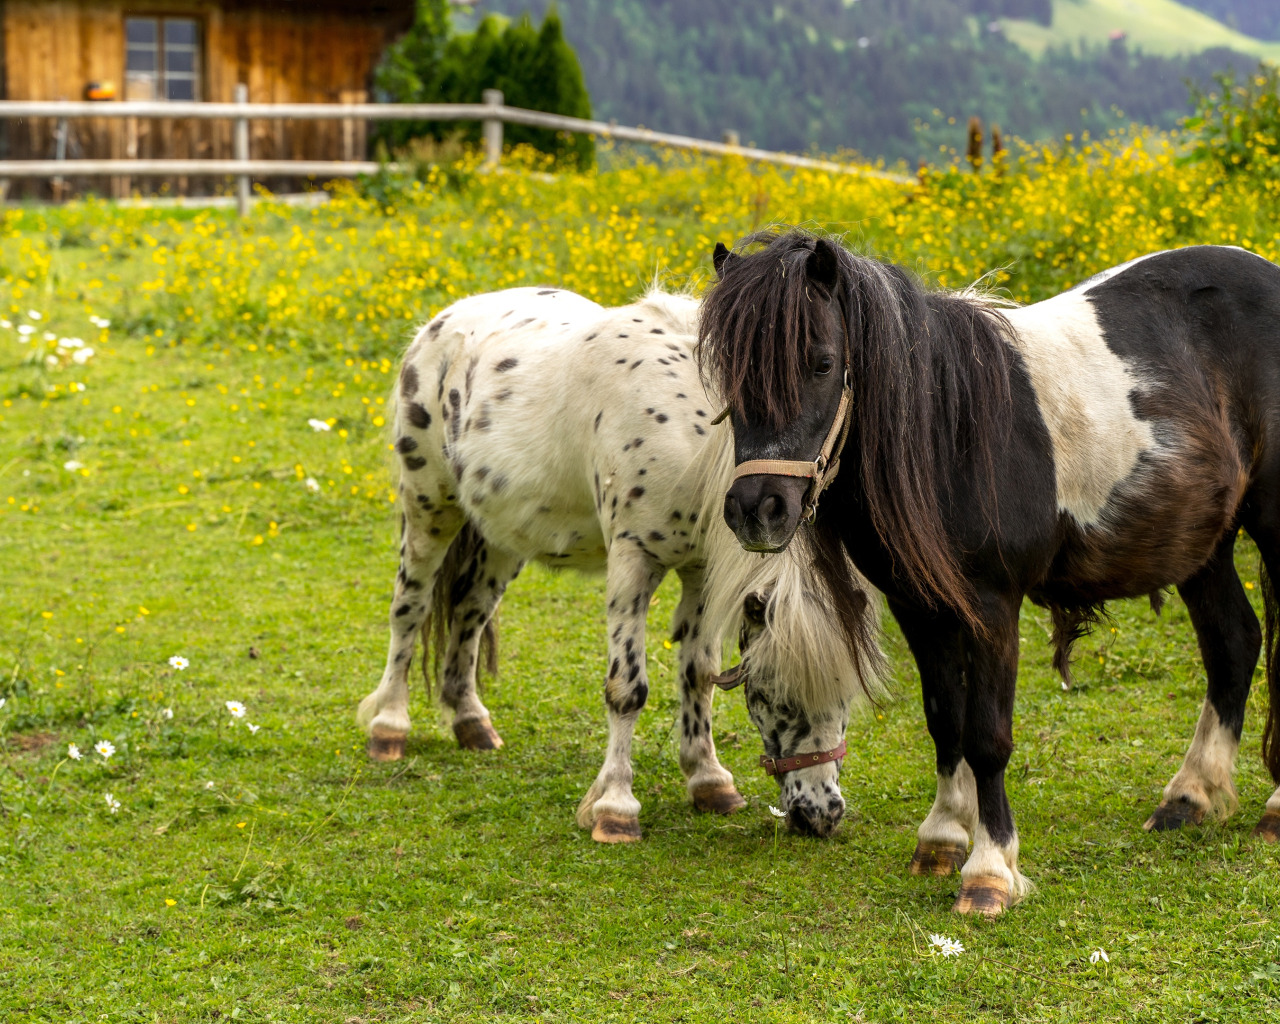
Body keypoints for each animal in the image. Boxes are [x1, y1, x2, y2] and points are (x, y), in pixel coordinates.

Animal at [355, 285, 885, 839]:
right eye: (772, 694)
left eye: (846, 699)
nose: (820, 814)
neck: (692, 432)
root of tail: (444, 320)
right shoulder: (634, 564)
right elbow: (626, 689)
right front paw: (615, 807)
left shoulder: (700, 572)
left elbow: (699, 673)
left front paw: (709, 780)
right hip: (428, 513)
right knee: (409, 609)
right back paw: (389, 726)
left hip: (501, 537)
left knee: (469, 614)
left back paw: (471, 722)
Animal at [706, 234, 1280, 921]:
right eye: (729, 373)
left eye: (821, 364)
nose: (757, 509)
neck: (947, 434)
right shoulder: (918, 605)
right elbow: (943, 719)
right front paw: (942, 837)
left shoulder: (992, 606)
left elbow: (986, 737)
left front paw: (989, 871)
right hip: (1201, 544)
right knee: (1233, 645)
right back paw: (1189, 798)